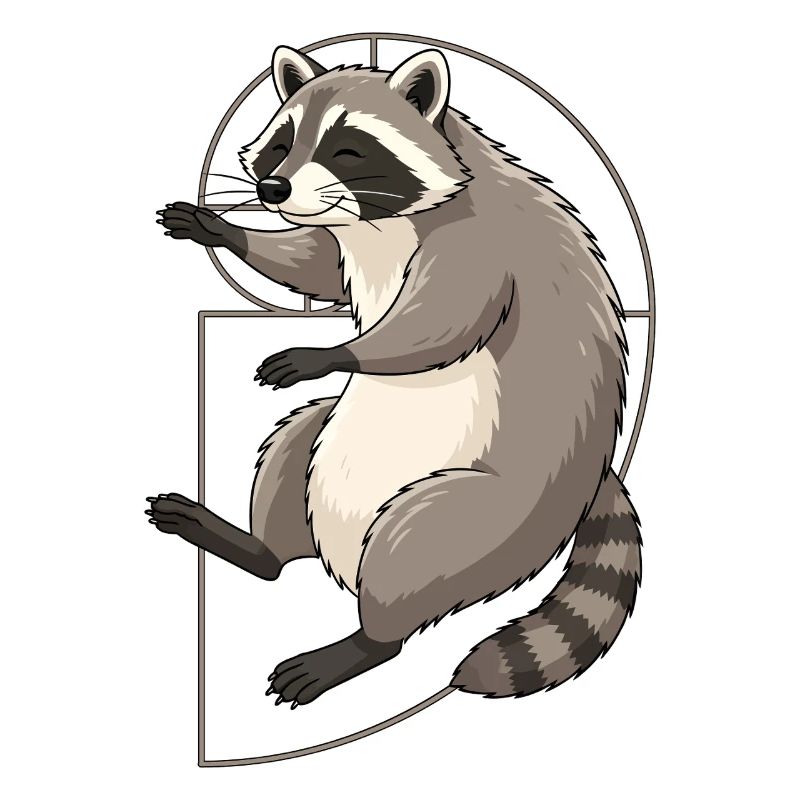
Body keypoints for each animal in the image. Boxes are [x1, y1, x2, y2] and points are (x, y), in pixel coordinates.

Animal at [148, 46, 642, 706]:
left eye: (348, 149)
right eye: (283, 142)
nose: (272, 189)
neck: (375, 220)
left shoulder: (481, 244)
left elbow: (440, 322)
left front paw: (335, 352)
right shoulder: (342, 235)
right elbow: (315, 264)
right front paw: (226, 230)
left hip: (489, 519)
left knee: (412, 542)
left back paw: (364, 642)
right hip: (324, 455)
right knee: (296, 443)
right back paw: (256, 548)